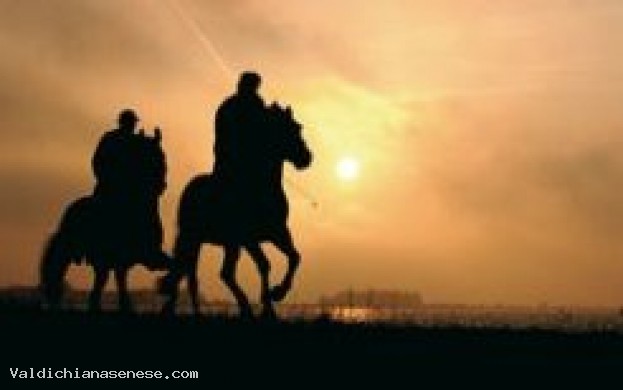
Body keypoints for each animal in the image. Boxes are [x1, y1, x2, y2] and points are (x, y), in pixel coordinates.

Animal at [40, 129, 172, 312]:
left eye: (162, 156)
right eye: (152, 156)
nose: (161, 185)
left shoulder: (146, 255)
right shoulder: (119, 256)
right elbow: (115, 278)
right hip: (74, 250)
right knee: (61, 271)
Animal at [161, 103, 312, 316]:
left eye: (298, 127)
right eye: (290, 129)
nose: (307, 157)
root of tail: (190, 187)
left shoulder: (278, 232)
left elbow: (295, 257)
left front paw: (277, 294)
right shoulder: (248, 239)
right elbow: (265, 264)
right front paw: (270, 303)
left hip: (229, 244)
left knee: (223, 273)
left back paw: (242, 307)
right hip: (194, 238)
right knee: (191, 274)